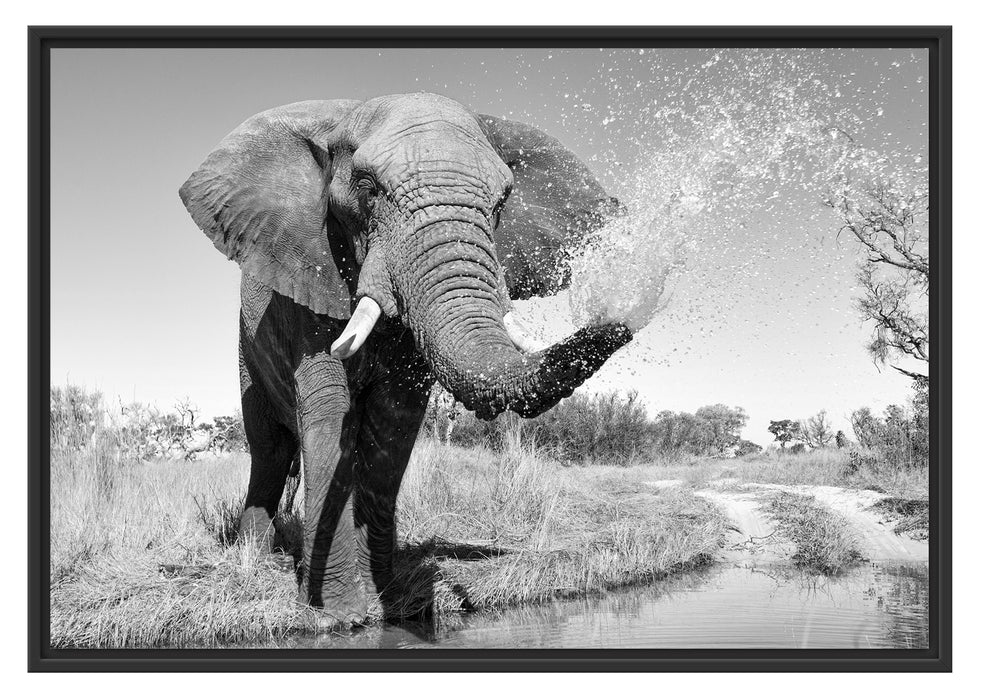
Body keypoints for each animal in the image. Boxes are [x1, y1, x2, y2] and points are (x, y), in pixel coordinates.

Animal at [179, 93, 632, 620]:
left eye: (502, 202)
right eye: (367, 188)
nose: (638, 293)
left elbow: (394, 419)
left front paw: (389, 603)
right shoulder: (306, 282)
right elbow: (329, 410)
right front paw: (340, 614)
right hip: (245, 349)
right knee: (268, 447)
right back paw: (256, 554)